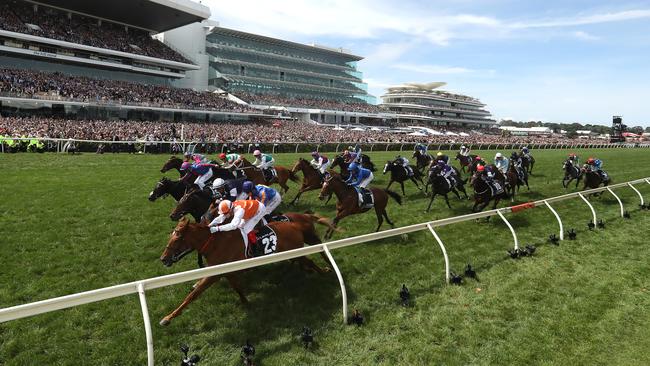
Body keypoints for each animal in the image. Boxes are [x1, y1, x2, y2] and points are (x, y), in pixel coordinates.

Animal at [156, 216, 330, 324]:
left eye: (177, 238)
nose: (163, 258)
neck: (214, 244)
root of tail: (295, 224)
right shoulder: (227, 271)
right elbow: (237, 287)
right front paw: (246, 302)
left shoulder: (213, 275)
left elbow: (192, 295)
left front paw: (168, 317)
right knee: (304, 261)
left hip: (295, 252)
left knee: (309, 261)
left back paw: (323, 271)